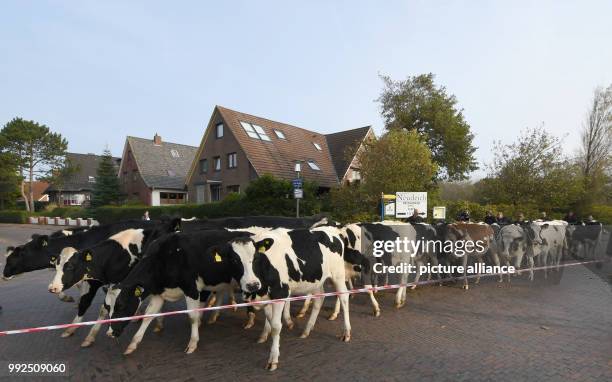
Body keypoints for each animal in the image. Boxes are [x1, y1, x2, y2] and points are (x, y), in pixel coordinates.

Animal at [222, 227, 352, 370]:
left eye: (255, 257)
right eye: (234, 260)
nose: (252, 284)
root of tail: (331, 229)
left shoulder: (280, 293)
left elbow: (276, 326)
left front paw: (273, 359)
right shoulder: (266, 298)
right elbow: (270, 320)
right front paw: (267, 338)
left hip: (338, 275)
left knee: (344, 297)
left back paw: (346, 333)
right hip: (316, 280)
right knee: (319, 299)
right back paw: (307, 330)